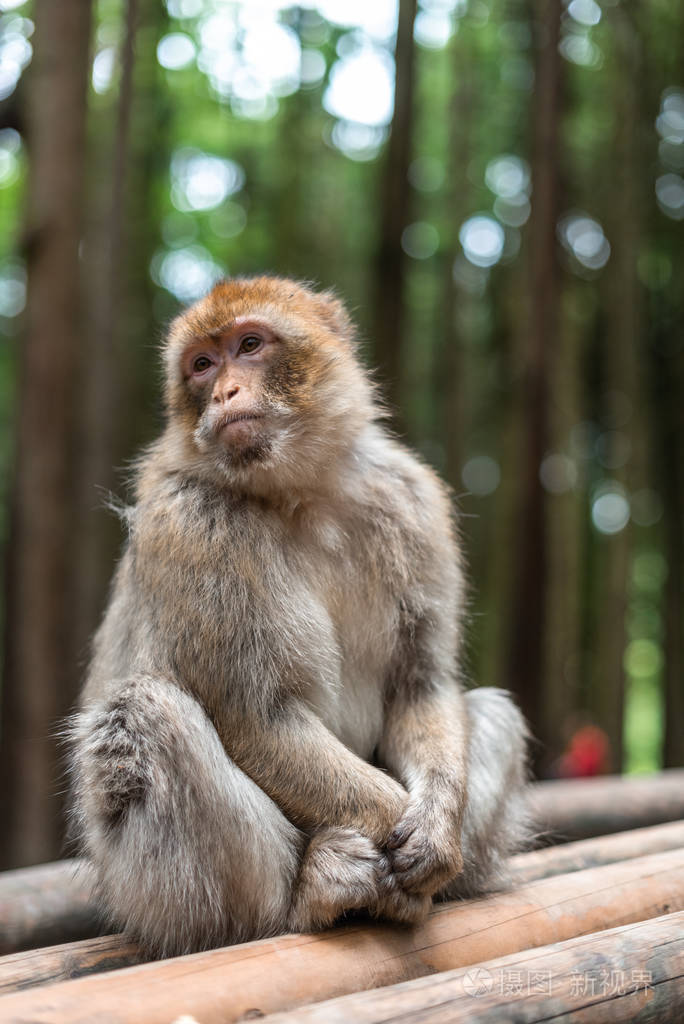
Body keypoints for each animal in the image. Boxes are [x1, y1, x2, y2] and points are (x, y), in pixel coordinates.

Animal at [68, 276, 528, 954]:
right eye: (201, 365)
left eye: (249, 346)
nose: (225, 391)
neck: (302, 491)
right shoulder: (190, 520)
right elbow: (258, 715)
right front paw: (393, 829)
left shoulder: (413, 500)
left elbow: (419, 682)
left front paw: (436, 833)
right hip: (148, 895)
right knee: (144, 717)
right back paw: (306, 897)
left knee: (492, 711)